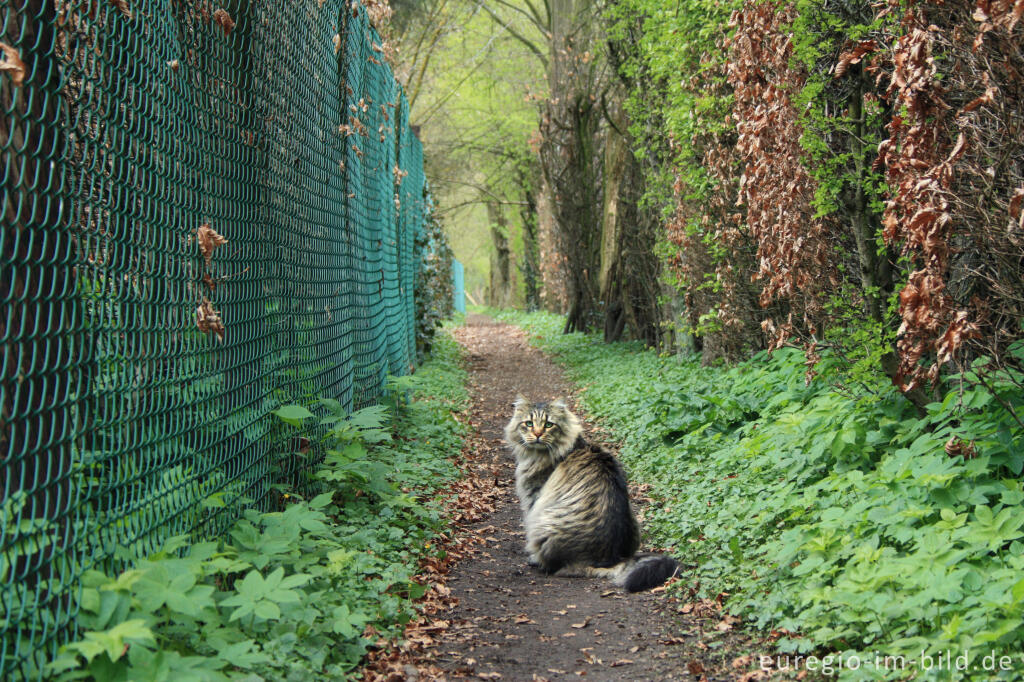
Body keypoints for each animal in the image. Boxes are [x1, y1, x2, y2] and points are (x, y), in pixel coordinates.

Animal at [503, 393, 679, 589]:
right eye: (528, 423)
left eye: (548, 425)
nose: (538, 434)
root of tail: (605, 559)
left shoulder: (533, 497)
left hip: (544, 522)